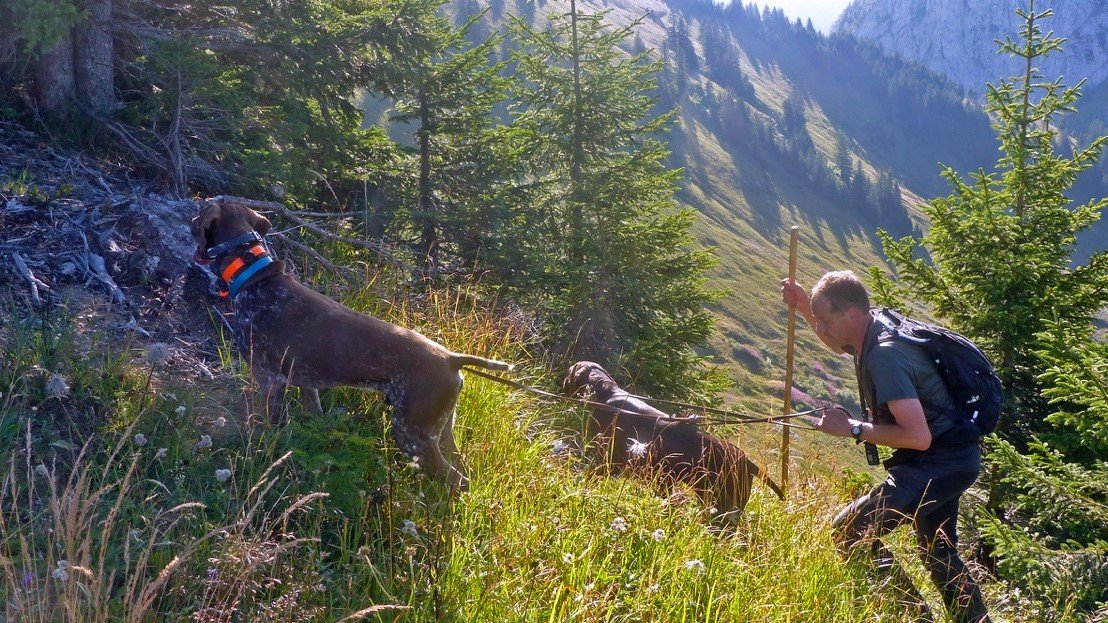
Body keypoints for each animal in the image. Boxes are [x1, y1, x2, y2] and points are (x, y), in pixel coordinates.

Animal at [192, 196, 511, 487]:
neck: (254, 277)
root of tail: (451, 358)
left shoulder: (270, 380)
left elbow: (273, 430)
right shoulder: (307, 385)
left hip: (413, 433)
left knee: (457, 481)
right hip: (441, 430)